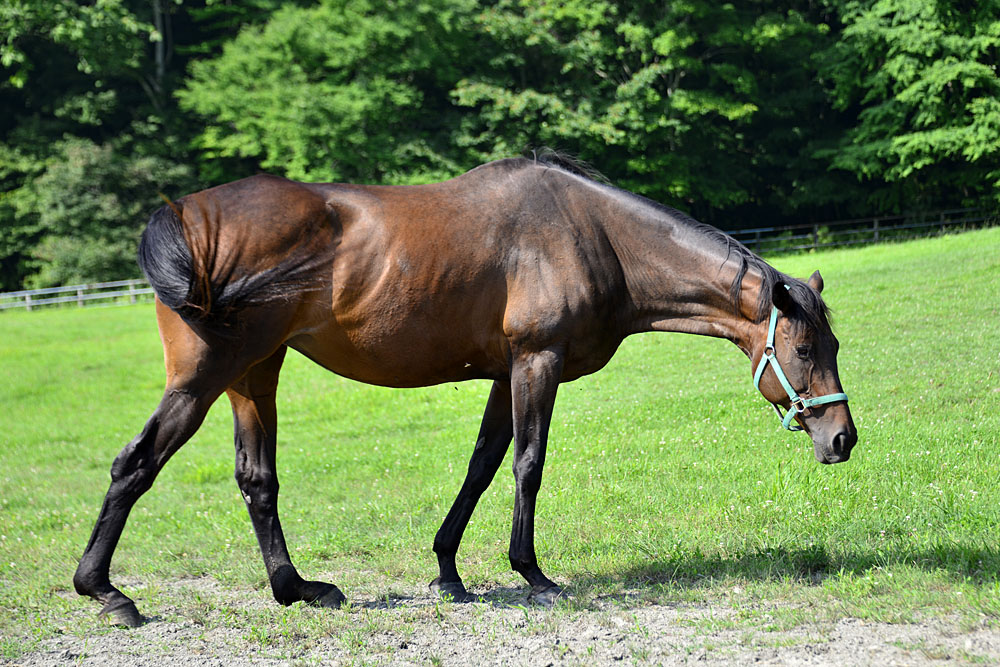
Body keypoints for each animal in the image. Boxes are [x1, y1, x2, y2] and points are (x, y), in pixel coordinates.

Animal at [76, 154, 860, 628]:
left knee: (255, 480)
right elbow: (527, 465)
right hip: (206, 376)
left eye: (834, 346)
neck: (595, 234)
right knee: (136, 462)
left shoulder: (503, 373)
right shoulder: (536, 364)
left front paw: (448, 571)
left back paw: (296, 588)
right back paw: (107, 593)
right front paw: (532, 573)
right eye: (802, 348)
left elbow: (481, 465)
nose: (842, 437)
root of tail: (185, 214)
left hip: (254, 374)